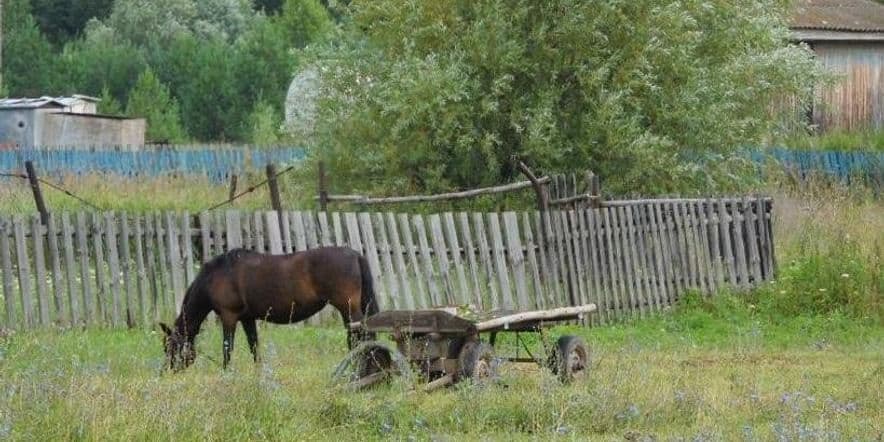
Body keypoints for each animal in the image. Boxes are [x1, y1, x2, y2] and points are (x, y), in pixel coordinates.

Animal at [159, 247, 376, 372]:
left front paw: (226, 373)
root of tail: (355, 254)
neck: (217, 275)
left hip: (348, 308)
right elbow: (254, 347)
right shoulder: (247, 319)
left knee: (361, 336)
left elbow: (227, 348)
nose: (167, 372)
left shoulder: (229, 317)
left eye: (169, 347)